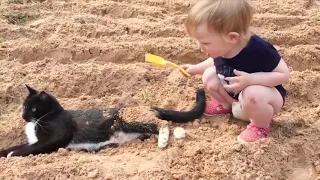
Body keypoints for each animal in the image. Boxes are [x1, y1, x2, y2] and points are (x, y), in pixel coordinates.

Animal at [0, 85, 160, 157]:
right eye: (24, 106)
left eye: (33, 109)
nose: (23, 116)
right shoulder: (33, 140)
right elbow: (17, 146)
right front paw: (5, 152)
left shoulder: (56, 137)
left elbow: (32, 147)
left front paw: (13, 154)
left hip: (129, 119)